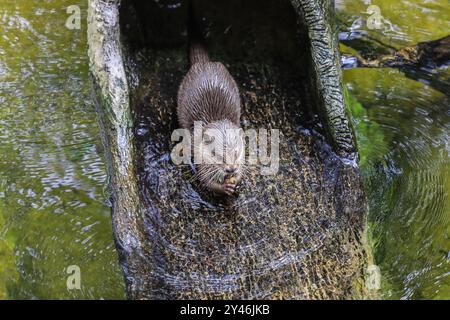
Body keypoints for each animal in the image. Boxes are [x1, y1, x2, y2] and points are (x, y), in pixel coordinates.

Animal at [178, 13, 244, 198]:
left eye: (236, 153)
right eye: (216, 154)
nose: (231, 169)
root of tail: (204, 63)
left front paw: (236, 179)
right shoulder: (199, 155)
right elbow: (206, 181)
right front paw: (224, 187)